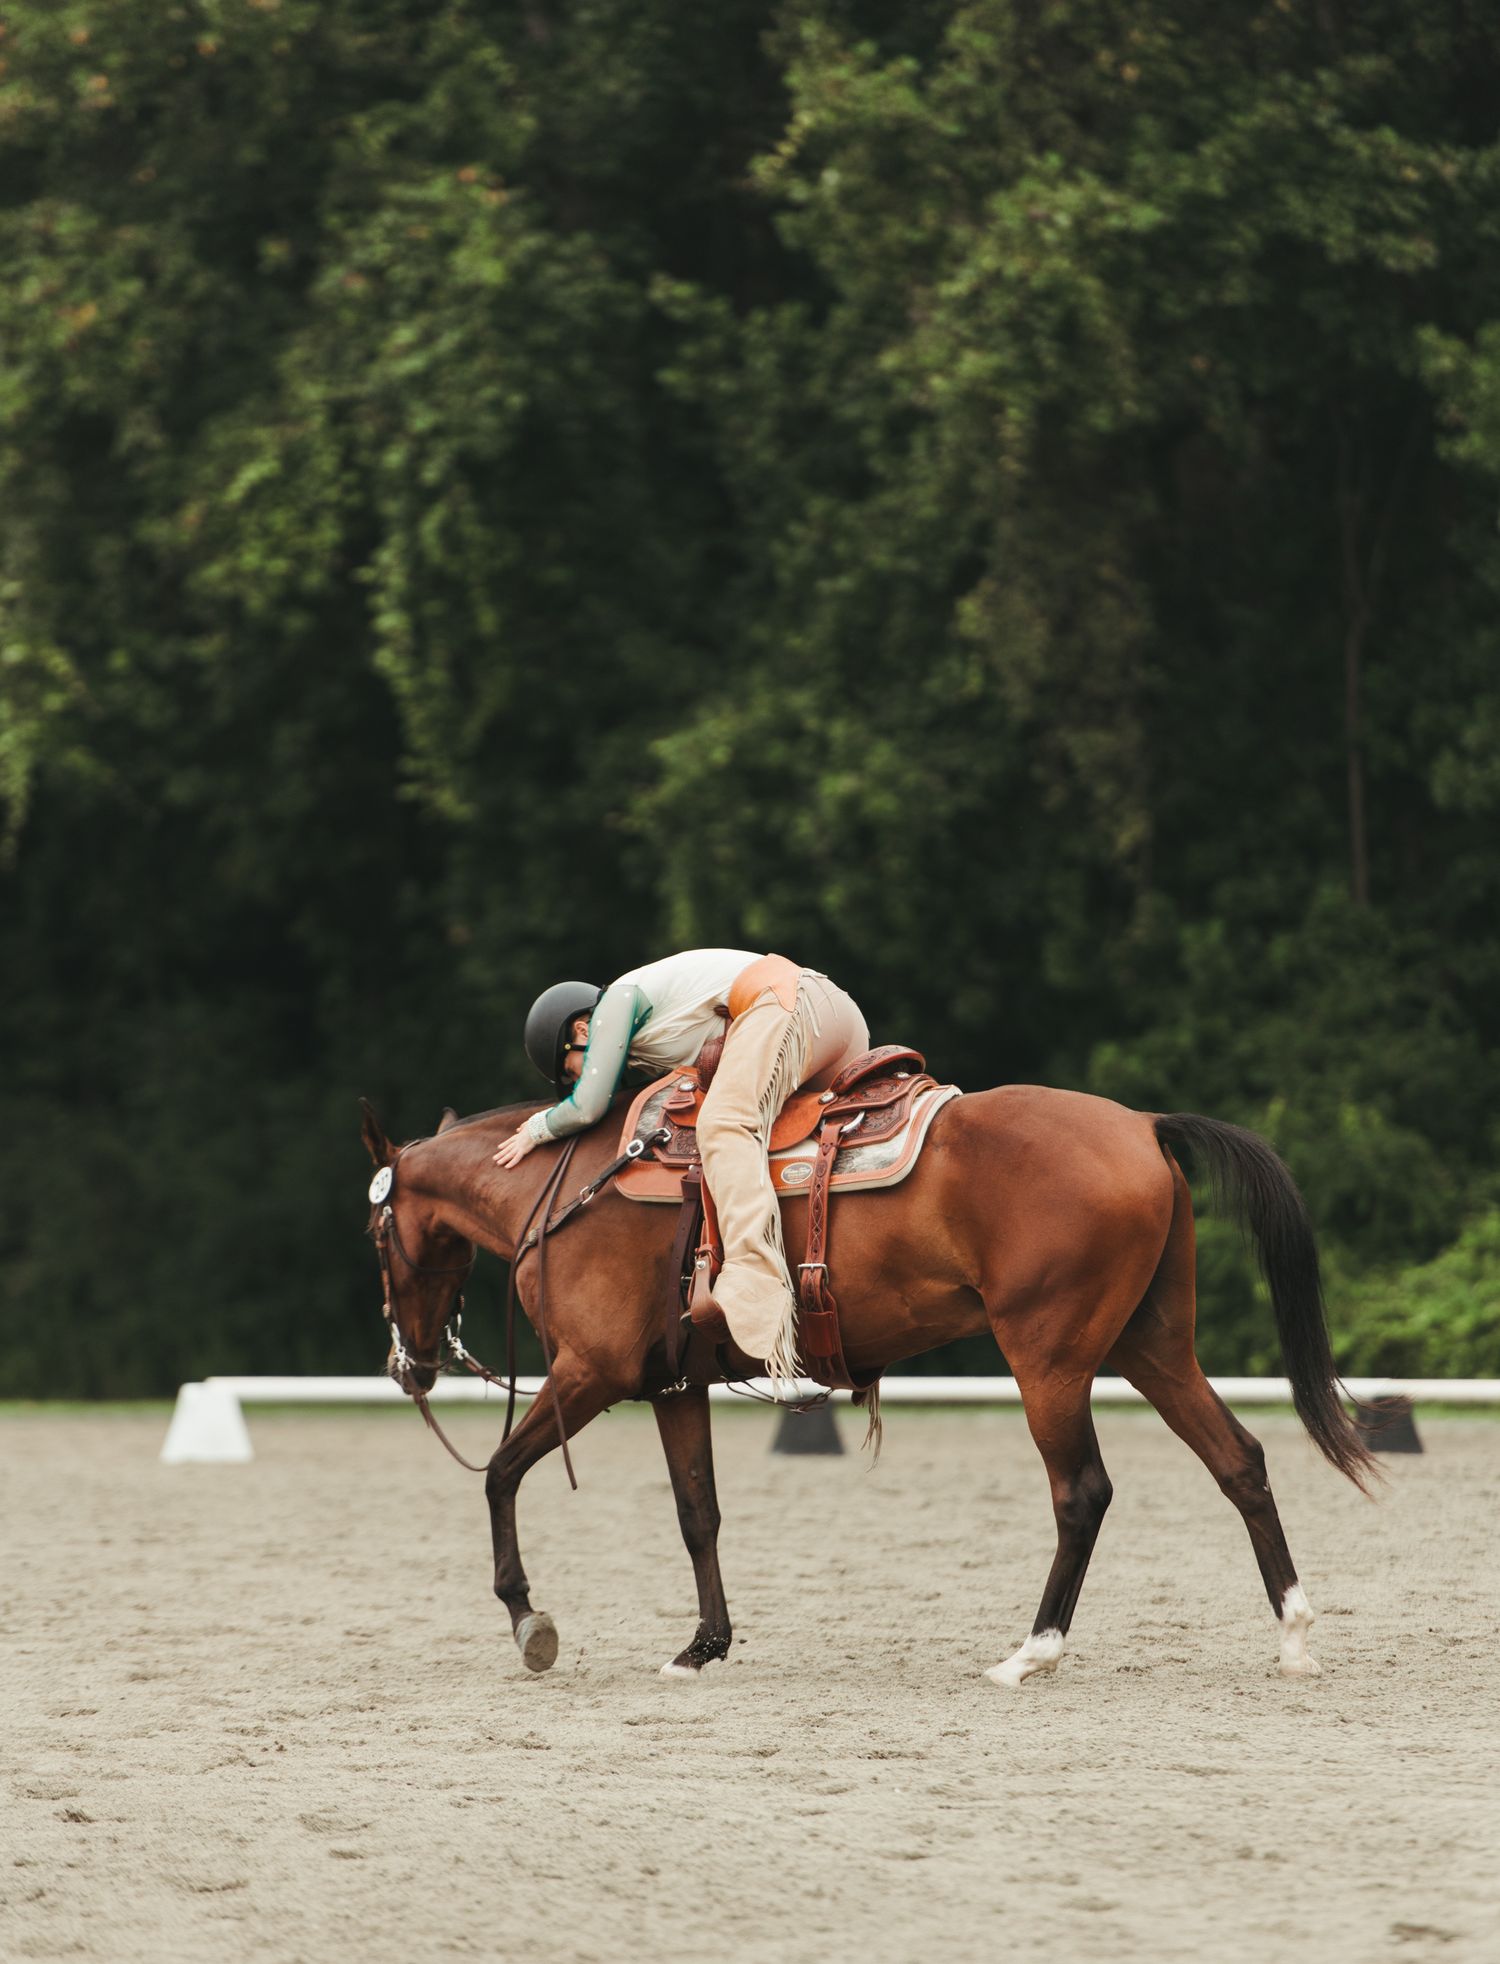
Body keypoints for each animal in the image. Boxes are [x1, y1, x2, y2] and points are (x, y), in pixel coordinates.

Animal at [359, 1086, 1374, 1688]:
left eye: (375, 1232)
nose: (410, 1364)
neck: (567, 1186)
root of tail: (1141, 1125)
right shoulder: (673, 1387)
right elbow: (698, 1514)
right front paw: (704, 1645)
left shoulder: (589, 1374)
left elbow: (498, 1474)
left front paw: (528, 1619)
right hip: (1152, 1348)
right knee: (1239, 1461)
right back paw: (1293, 1633)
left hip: (1049, 1360)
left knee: (1082, 1493)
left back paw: (1032, 1652)